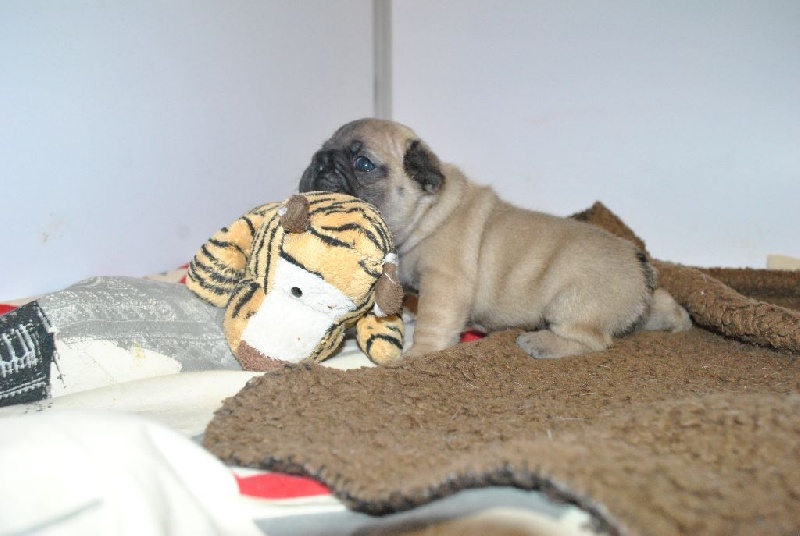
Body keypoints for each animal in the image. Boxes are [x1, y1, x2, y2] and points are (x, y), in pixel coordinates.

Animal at [299, 118, 691, 359]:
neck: (427, 211)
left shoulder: (445, 284)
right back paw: (680, 322)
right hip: (637, 306)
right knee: (662, 309)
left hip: (573, 302)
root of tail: (640, 265)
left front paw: (420, 352)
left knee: (592, 340)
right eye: (319, 153)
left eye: (363, 163)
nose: (321, 162)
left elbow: (433, 322)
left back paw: (540, 341)